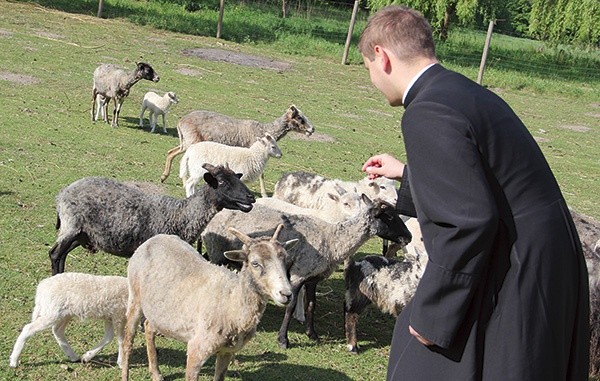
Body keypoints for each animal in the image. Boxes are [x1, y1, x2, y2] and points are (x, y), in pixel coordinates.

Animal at [46, 163, 253, 274]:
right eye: (222, 182)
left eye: (238, 179)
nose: (251, 197)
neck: (179, 215)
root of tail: (63, 193)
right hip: (71, 225)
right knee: (55, 254)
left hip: (82, 233)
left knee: (62, 254)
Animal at [119, 224, 298, 380]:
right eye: (255, 263)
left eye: (286, 260)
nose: (286, 294)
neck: (232, 304)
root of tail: (153, 239)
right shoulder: (197, 349)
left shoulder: (227, 352)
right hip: (135, 296)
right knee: (128, 340)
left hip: (160, 312)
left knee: (149, 326)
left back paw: (156, 374)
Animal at [202, 193, 412, 348]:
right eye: (389, 216)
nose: (409, 237)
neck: (332, 239)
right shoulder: (297, 274)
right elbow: (290, 306)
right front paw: (283, 340)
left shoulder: (313, 278)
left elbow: (312, 304)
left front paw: (313, 335)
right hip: (216, 251)